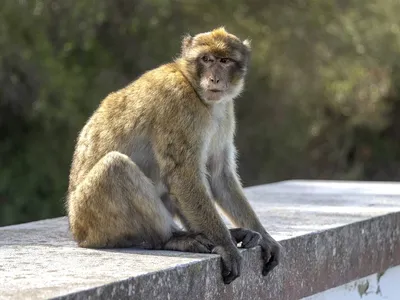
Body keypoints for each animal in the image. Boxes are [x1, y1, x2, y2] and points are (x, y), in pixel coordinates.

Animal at [66, 27, 282, 284]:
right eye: (206, 59)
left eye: (224, 61)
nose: (215, 79)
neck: (193, 86)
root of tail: (76, 232)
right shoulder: (179, 106)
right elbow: (183, 175)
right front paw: (226, 246)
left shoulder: (225, 111)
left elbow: (219, 175)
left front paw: (264, 237)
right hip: (91, 218)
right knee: (116, 167)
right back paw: (171, 238)